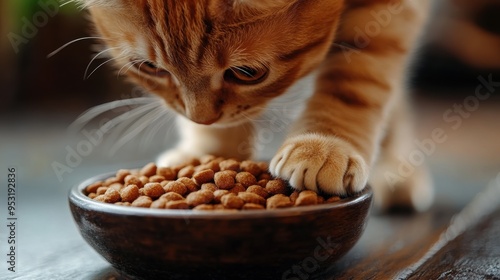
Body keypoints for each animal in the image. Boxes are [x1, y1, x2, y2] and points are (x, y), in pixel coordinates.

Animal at [78, 0, 434, 210]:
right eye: (149, 68)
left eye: (247, 73)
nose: (202, 118)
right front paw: (210, 151)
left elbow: (359, 77)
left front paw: (325, 146)